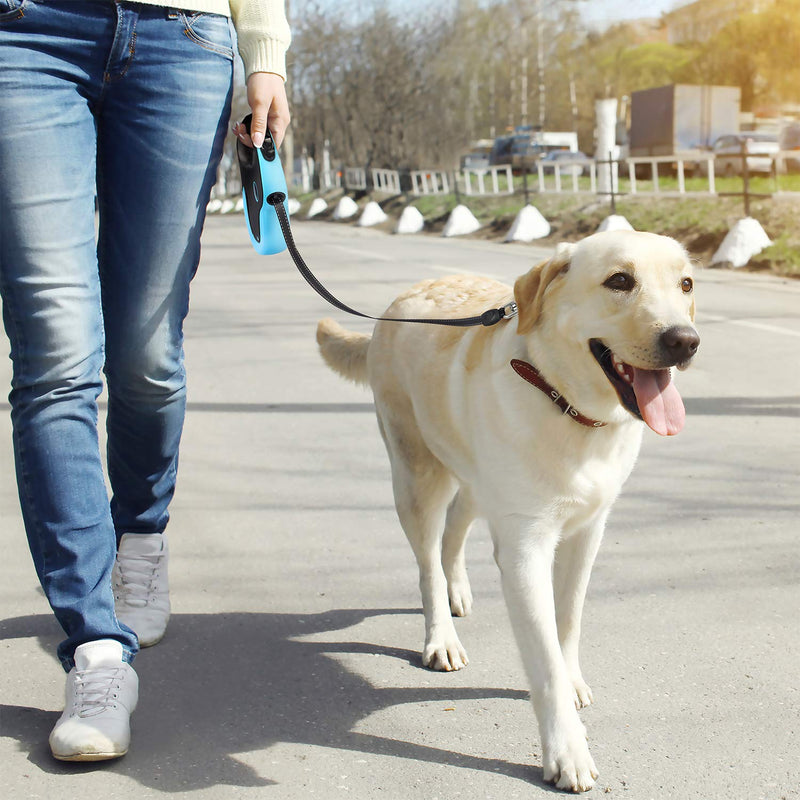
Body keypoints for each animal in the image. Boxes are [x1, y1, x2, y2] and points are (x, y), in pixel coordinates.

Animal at [316, 231, 696, 792]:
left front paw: (572, 677)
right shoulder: (524, 549)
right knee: (427, 562)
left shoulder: (587, 532)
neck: (567, 405)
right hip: (416, 477)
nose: (685, 341)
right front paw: (567, 750)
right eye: (620, 281)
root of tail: (399, 301)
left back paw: (458, 590)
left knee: (454, 531)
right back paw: (441, 636)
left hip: (475, 479)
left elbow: (568, 621)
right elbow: (544, 659)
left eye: (686, 284)